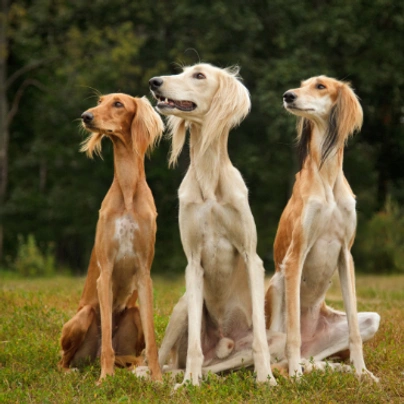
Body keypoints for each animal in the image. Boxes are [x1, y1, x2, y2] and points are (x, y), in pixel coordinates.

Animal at [59, 93, 163, 384]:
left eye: (118, 103)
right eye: (100, 101)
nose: (86, 116)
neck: (127, 192)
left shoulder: (144, 273)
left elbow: (153, 341)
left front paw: (158, 379)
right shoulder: (104, 273)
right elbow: (106, 339)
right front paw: (105, 380)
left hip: (133, 315)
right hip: (82, 317)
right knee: (64, 359)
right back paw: (75, 370)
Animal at [148, 64, 278, 388]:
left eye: (199, 76)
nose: (154, 82)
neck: (209, 180)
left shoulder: (252, 257)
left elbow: (260, 339)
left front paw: (266, 378)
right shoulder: (193, 264)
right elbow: (194, 342)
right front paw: (189, 384)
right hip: (181, 307)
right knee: (159, 361)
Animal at [266, 76, 378, 382]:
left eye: (320, 86)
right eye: (301, 84)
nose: (288, 96)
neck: (327, 176)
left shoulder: (345, 255)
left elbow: (354, 331)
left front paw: (362, 372)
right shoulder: (295, 256)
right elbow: (292, 334)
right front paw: (295, 376)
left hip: (371, 319)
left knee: (316, 357)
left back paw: (335, 368)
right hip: (276, 287)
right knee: (281, 354)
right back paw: (295, 369)